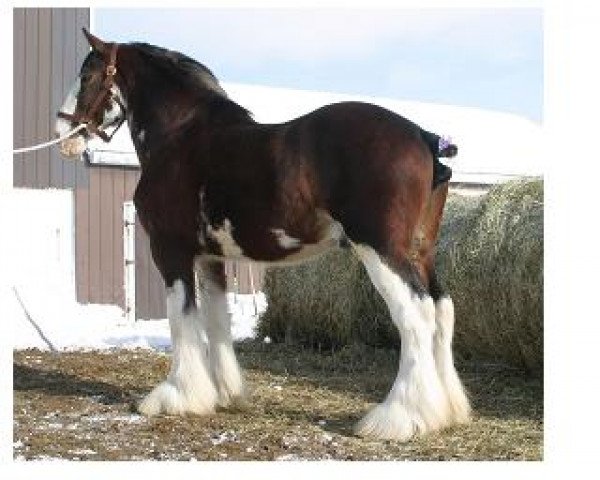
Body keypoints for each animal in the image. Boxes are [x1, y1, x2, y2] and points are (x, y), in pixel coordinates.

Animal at [55, 30, 468, 440]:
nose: (62, 133)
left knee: (415, 315)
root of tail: (422, 136)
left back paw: (398, 417)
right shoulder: (210, 258)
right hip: (420, 252)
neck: (181, 135)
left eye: (87, 75)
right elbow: (216, 319)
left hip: (381, 251)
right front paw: (226, 393)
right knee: (442, 308)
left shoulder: (170, 252)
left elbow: (181, 318)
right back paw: (446, 409)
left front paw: (176, 395)